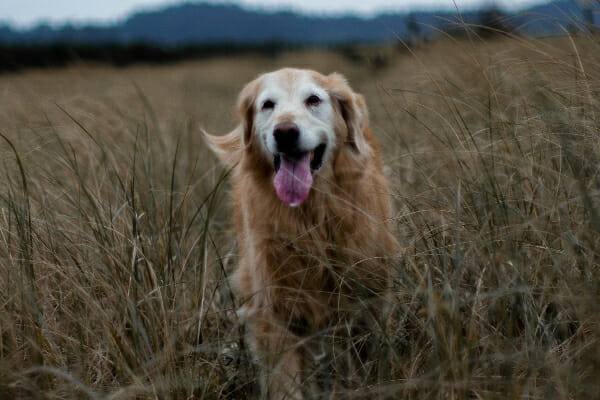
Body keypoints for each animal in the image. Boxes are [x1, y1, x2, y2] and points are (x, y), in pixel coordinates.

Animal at [206, 69, 398, 400]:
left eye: (313, 100)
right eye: (267, 104)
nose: (285, 132)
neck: (310, 216)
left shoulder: (360, 295)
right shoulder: (274, 305)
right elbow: (284, 378)